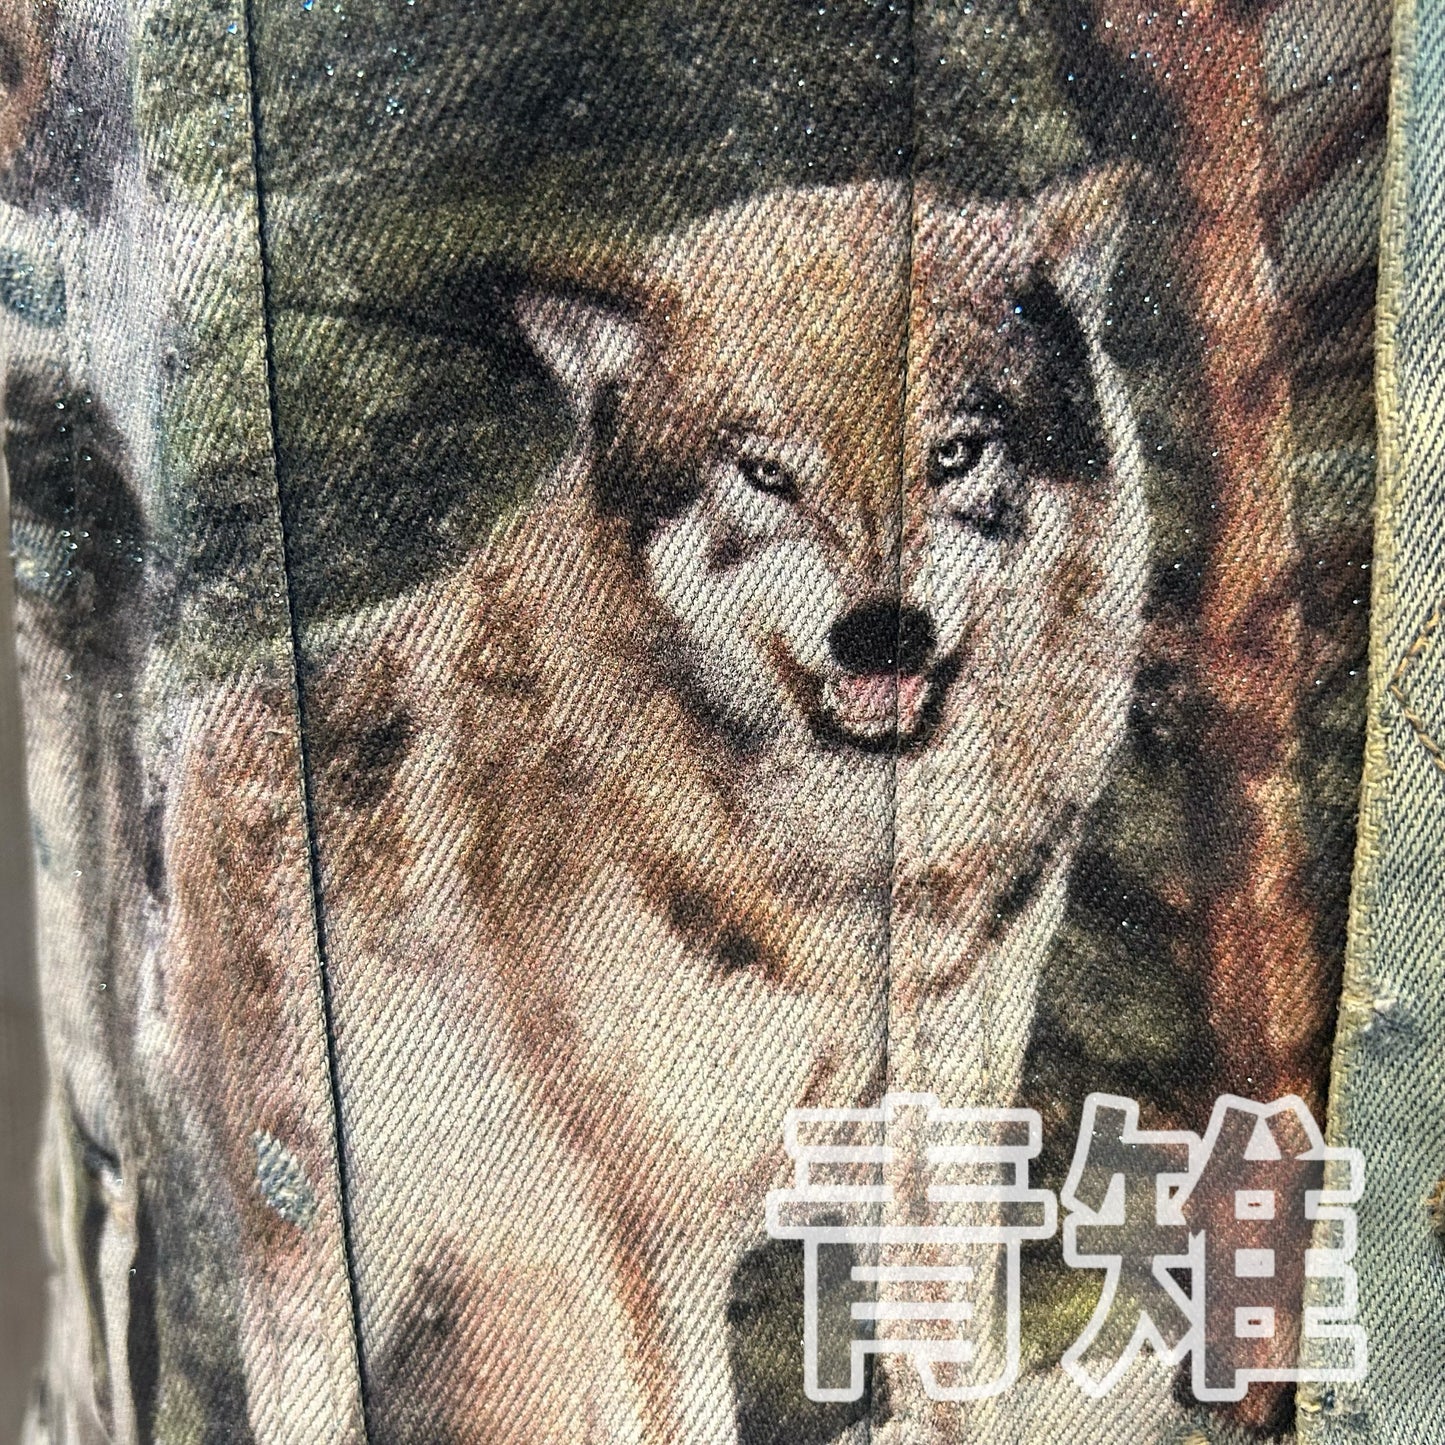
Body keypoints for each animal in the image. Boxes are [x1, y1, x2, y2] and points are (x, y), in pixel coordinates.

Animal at [158, 169, 1150, 1442]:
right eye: (765, 475)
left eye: (954, 453)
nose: (882, 633)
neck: (852, 869)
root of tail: (194, 724)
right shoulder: (651, 1230)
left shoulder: (942, 1143)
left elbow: (945, 1390)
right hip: (332, 1262)